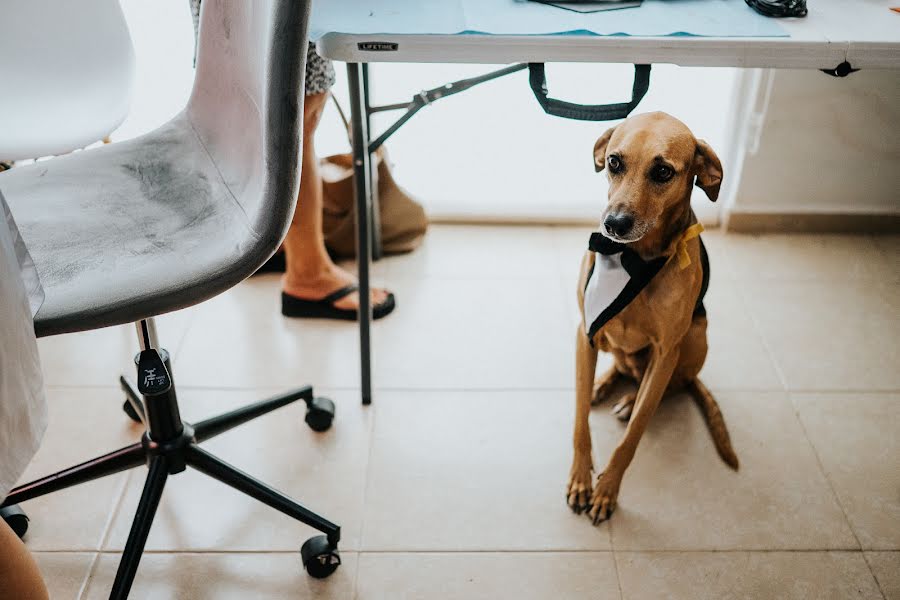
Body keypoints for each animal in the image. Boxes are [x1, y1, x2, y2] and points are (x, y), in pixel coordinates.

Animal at [568, 112, 740, 524]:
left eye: (663, 171)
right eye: (614, 162)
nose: (614, 224)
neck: (634, 260)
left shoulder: (665, 353)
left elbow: (633, 436)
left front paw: (607, 490)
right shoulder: (586, 333)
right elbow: (580, 423)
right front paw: (581, 479)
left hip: (696, 336)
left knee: (669, 385)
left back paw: (631, 399)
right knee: (621, 367)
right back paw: (603, 383)